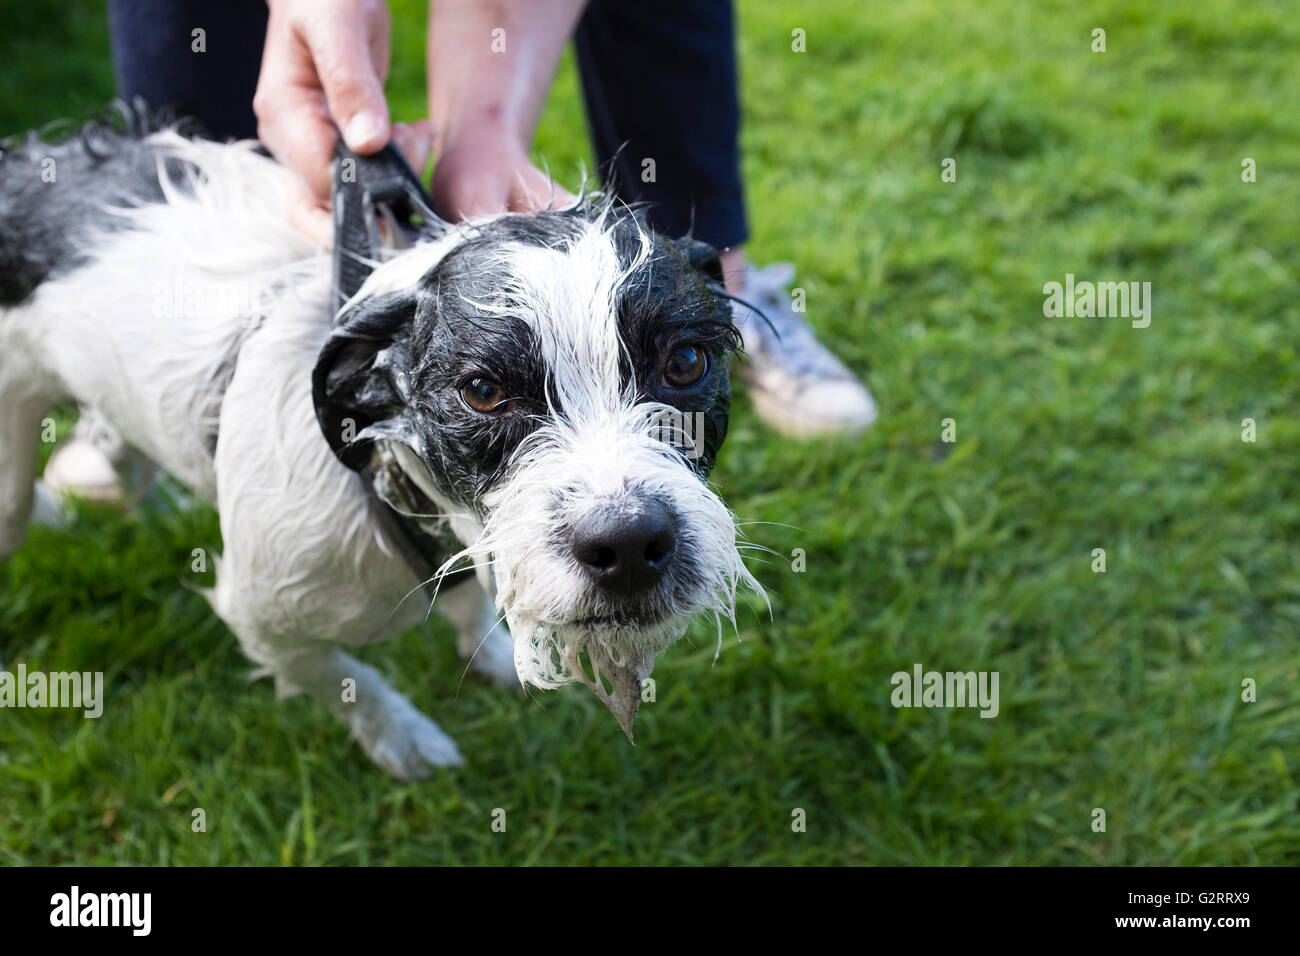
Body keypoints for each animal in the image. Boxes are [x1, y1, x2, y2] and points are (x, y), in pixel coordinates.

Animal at [0, 111, 759, 780]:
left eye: (685, 362)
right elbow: (341, 677)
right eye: (482, 391)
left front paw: (485, 647)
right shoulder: (262, 615)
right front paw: (401, 735)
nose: (628, 543)